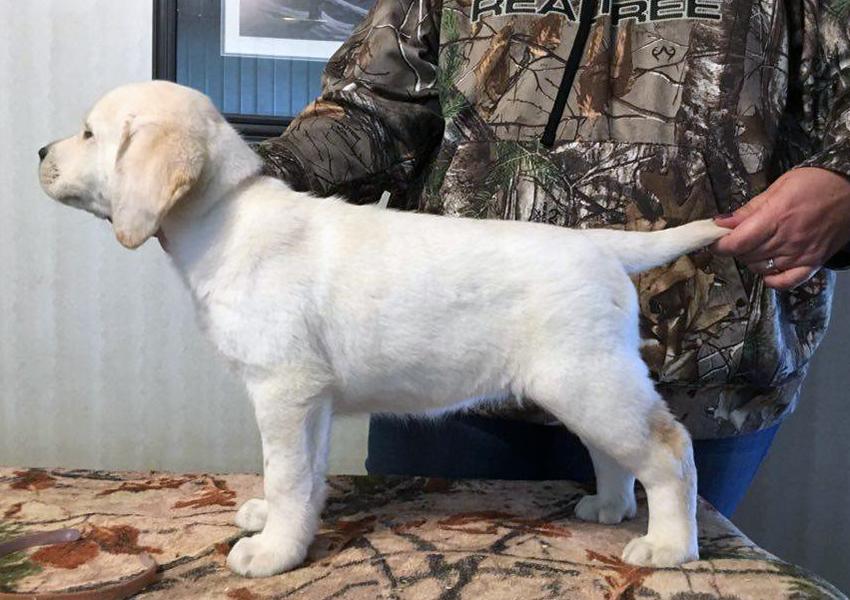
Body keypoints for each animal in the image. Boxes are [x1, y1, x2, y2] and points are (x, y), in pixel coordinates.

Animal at [39, 81, 724, 576]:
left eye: (90, 132)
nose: (40, 154)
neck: (223, 217)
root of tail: (603, 246)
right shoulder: (310, 399)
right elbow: (304, 476)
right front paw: (284, 522)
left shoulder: (284, 390)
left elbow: (285, 473)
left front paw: (274, 553)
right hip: (586, 384)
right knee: (616, 454)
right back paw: (610, 507)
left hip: (588, 381)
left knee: (670, 450)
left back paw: (668, 547)